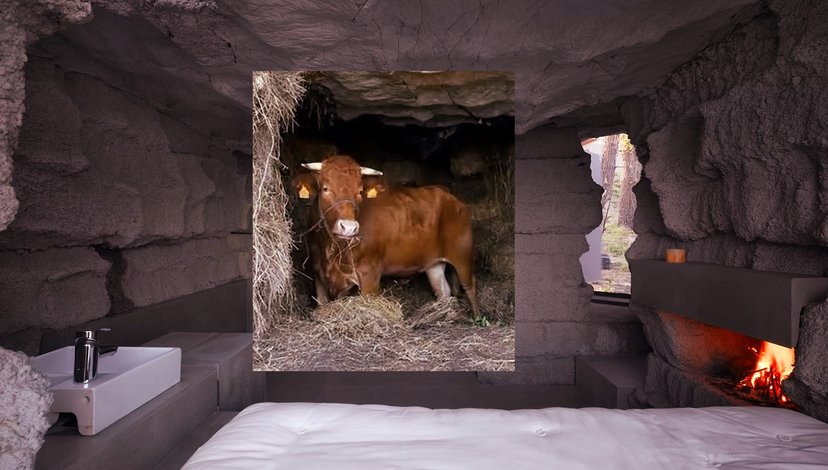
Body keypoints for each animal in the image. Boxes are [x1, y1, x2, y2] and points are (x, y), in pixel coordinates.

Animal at [293, 155, 480, 320]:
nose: (349, 228)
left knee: (470, 287)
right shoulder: (318, 274)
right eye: (325, 189)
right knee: (443, 291)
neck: (333, 253)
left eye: (359, 192)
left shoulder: (370, 274)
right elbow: (322, 304)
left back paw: (477, 318)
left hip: (462, 253)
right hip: (433, 264)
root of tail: (446, 194)